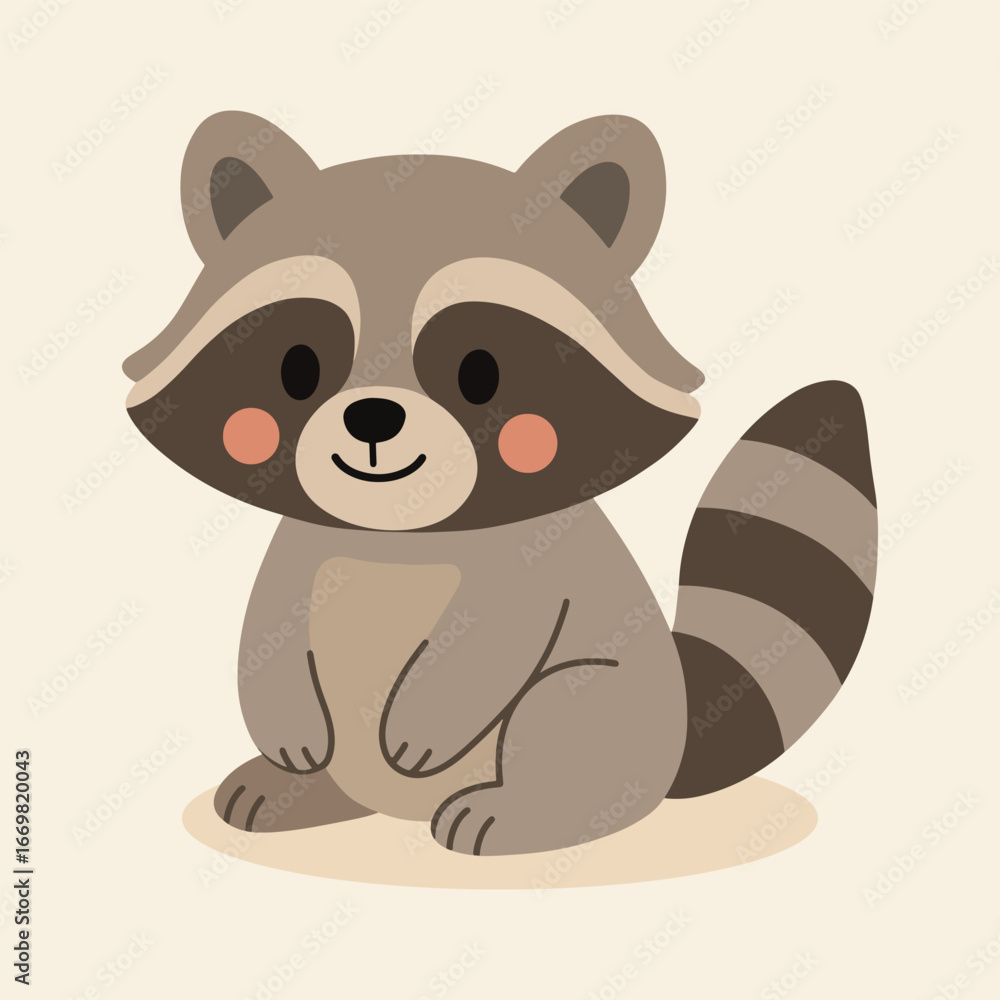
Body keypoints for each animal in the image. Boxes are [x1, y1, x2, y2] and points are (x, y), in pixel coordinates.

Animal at [123, 112, 877, 856]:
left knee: (567, 716)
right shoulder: (306, 543)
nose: (373, 417)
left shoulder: (531, 563)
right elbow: (271, 625)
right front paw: (284, 726)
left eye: (480, 371)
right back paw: (301, 792)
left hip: (608, 706)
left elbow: (493, 641)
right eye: (296, 366)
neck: (399, 534)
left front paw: (426, 721)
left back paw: (520, 811)